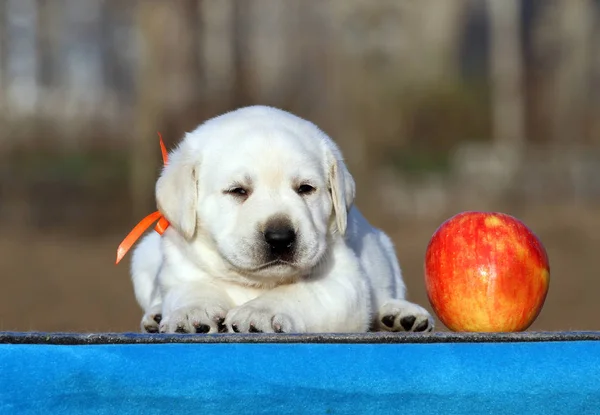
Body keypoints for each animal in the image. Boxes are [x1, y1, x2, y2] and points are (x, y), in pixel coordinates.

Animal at [129, 106, 434, 334]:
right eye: (238, 191)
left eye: (306, 189)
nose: (280, 237)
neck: (254, 282)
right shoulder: (181, 269)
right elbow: (192, 288)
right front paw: (191, 312)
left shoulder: (343, 283)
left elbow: (297, 292)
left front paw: (260, 311)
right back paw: (155, 317)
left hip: (385, 253)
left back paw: (400, 316)